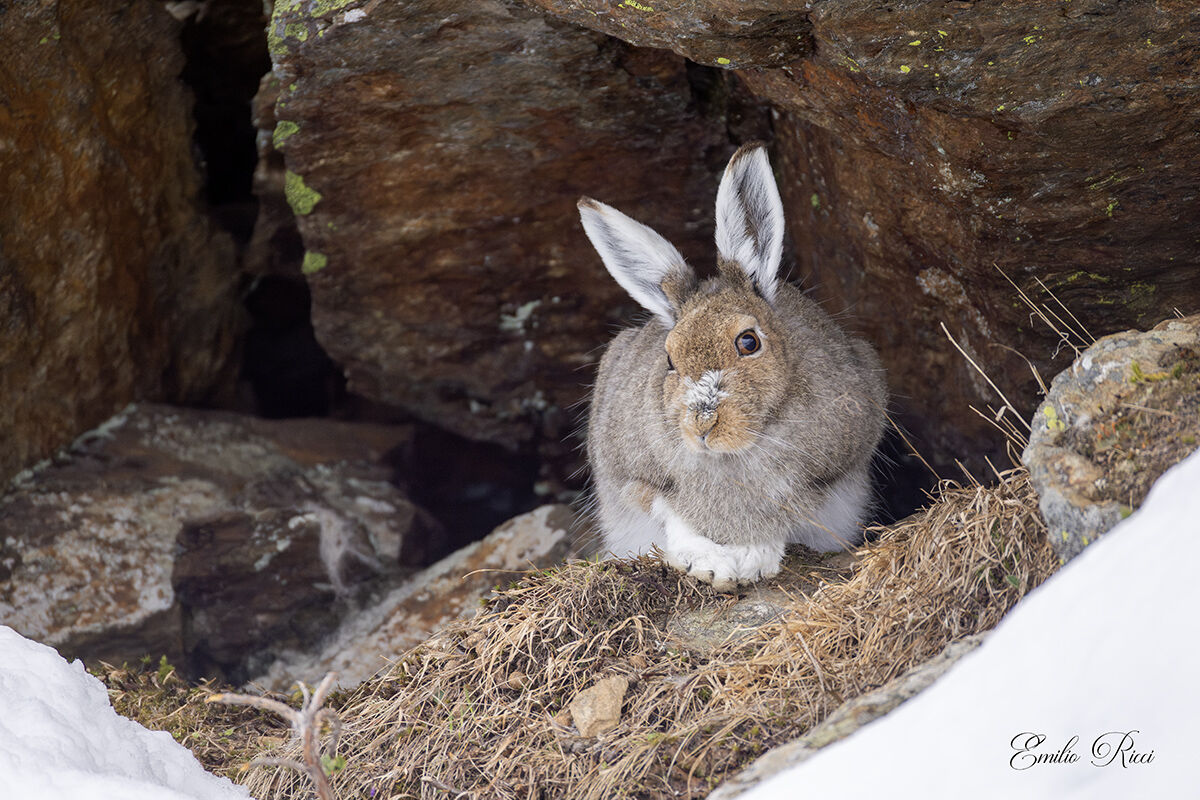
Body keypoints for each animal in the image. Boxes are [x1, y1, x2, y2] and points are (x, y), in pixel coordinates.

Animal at [577, 142, 887, 590]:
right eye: (669, 359)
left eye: (748, 342)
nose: (703, 423)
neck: (731, 452)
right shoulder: (632, 474)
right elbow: (668, 510)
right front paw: (709, 565)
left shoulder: (833, 466)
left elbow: (790, 509)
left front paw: (753, 559)